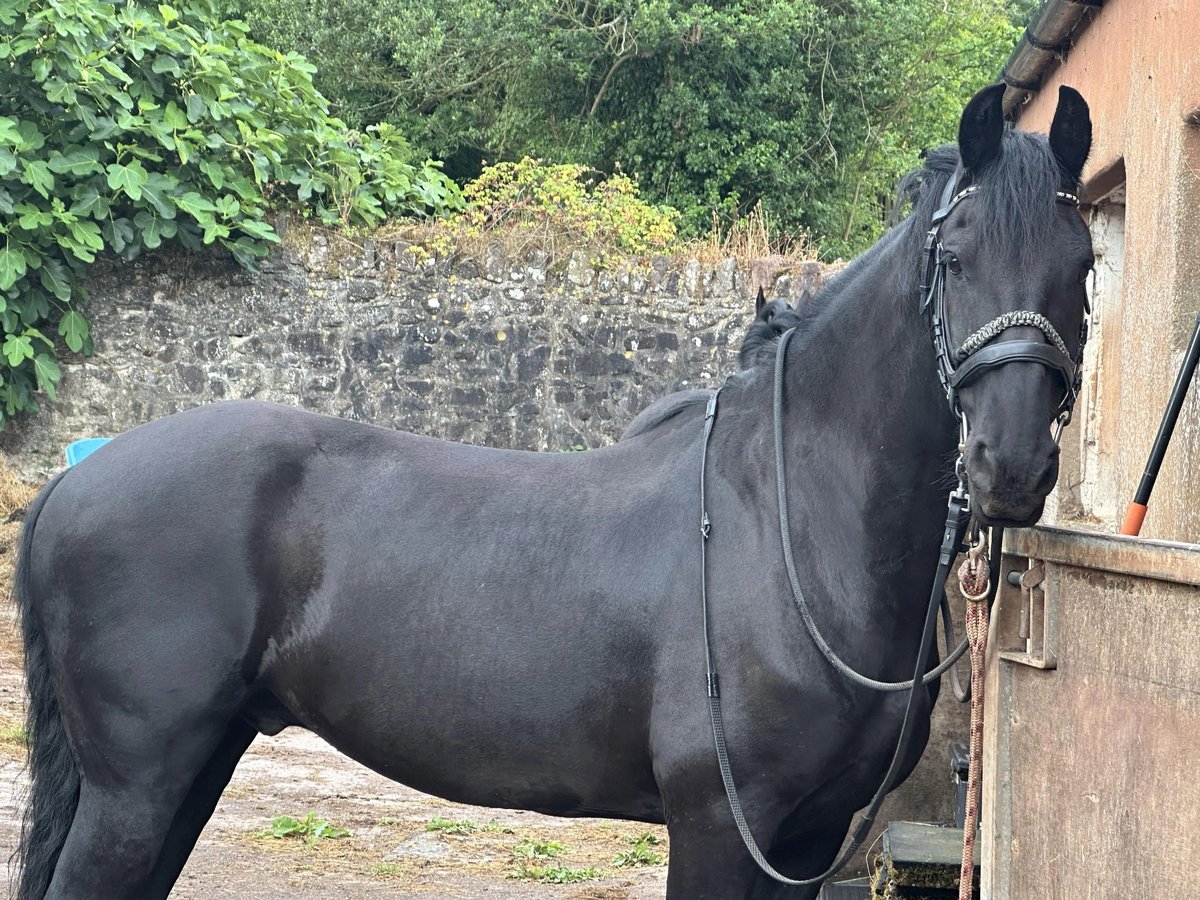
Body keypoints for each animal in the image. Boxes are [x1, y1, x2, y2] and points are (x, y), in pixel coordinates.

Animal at [12, 82, 1093, 899]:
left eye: (1082, 266)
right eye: (952, 258)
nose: (1008, 467)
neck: (787, 527)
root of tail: (76, 481)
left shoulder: (808, 838)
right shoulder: (719, 827)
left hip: (195, 763)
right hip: (138, 784)